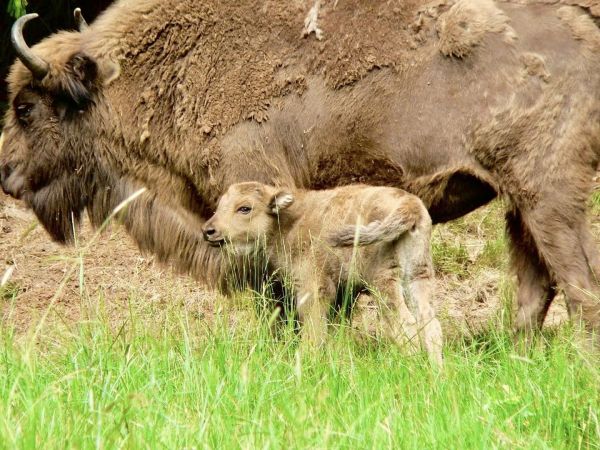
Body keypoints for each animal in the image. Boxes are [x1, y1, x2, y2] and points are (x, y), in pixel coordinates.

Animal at [1, 0, 600, 338]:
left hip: (550, 198)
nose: (7, 175)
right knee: (535, 289)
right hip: (519, 206)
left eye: (25, 107)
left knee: (578, 284)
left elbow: (281, 296)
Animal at [204, 181, 442, 364]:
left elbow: (314, 329)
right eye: (221, 205)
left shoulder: (313, 289)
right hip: (418, 275)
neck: (288, 222)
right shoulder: (341, 294)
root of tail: (409, 205)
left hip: (384, 283)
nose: (209, 231)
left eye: (245, 208)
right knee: (430, 323)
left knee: (405, 323)